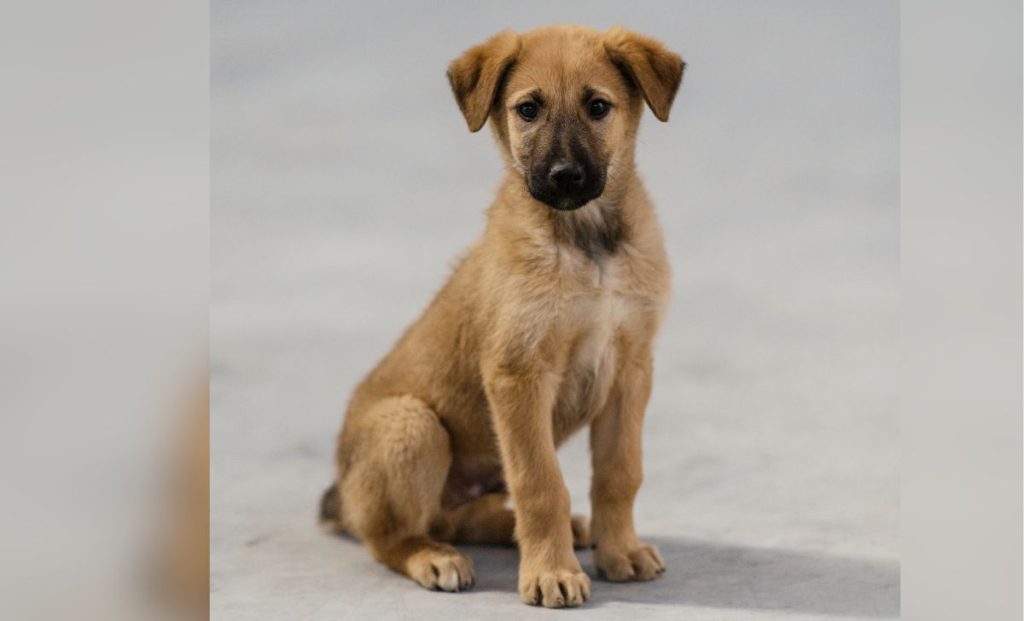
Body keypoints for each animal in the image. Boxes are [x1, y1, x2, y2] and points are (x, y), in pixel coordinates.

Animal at [319, 23, 684, 606]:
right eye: (528, 109)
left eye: (598, 106)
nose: (564, 176)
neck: (586, 244)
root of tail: (344, 494)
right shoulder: (519, 373)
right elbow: (541, 483)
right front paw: (551, 573)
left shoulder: (630, 368)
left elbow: (619, 471)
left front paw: (619, 550)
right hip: (412, 424)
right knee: (391, 536)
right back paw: (433, 558)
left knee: (458, 517)